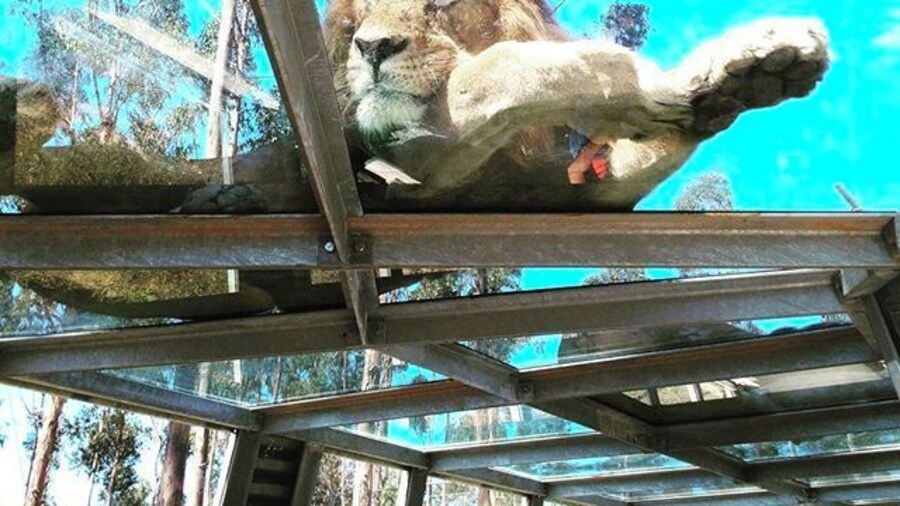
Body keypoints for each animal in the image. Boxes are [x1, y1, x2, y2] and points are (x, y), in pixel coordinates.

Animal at [325, 0, 830, 210]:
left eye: (445, 2)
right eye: (364, 7)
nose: (372, 47)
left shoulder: (567, 187)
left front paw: (748, 70)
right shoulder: (414, 157)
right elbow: (503, 64)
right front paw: (641, 85)